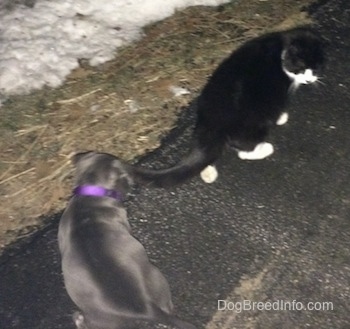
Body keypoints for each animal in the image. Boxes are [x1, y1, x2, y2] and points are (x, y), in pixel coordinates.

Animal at [131, 26, 326, 186]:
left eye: (316, 68)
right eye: (301, 66)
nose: (310, 80)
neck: (281, 49)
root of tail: (214, 121)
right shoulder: (278, 92)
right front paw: (281, 117)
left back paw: (207, 171)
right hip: (253, 125)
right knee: (242, 149)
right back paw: (265, 148)